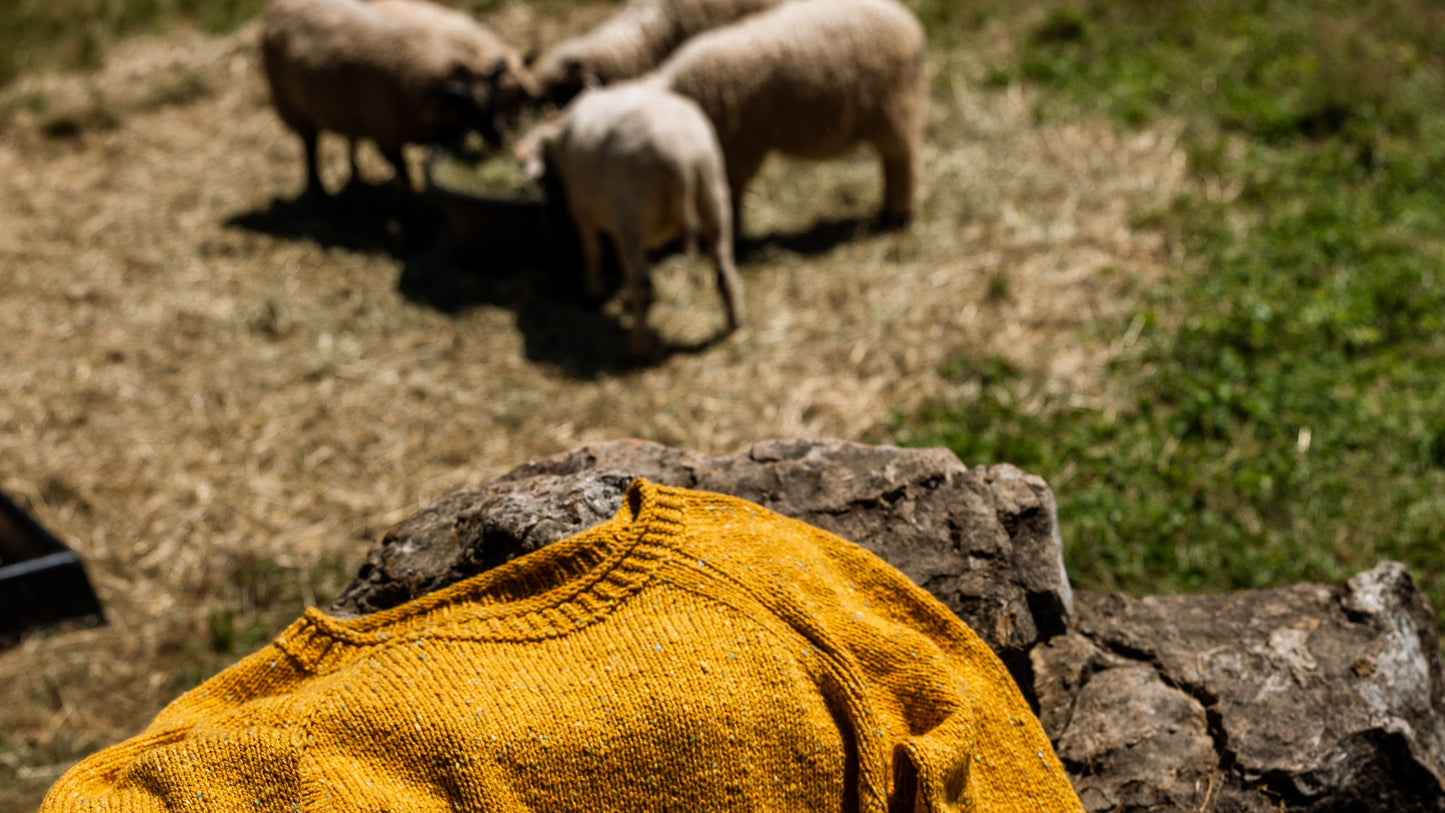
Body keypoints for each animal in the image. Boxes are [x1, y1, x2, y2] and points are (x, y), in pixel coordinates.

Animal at [260, 0, 530, 197]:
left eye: (496, 103)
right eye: (469, 110)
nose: (500, 139)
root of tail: (277, 7)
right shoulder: (387, 139)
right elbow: (406, 183)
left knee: (348, 140)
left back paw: (354, 176)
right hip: (293, 107)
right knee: (309, 147)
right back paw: (319, 191)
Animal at [514, 82, 743, 356]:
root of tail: (679, 156)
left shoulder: (582, 210)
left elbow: (592, 250)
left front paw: (593, 291)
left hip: (630, 217)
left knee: (645, 289)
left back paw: (637, 347)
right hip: (713, 193)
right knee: (724, 270)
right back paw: (735, 322)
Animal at [648, 0, 926, 233]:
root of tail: (909, 24)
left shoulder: (736, 148)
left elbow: (731, 194)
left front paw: (736, 236)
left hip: (896, 109)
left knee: (903, 163)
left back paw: (898, 218)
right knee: (890, 163)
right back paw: (887, 212)